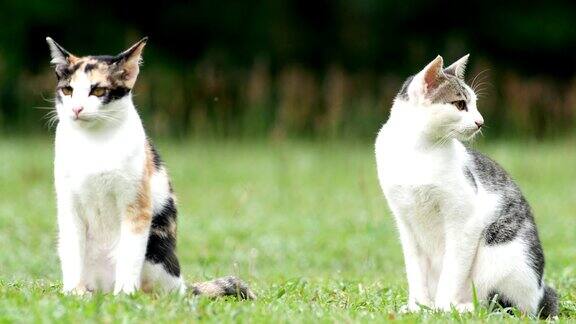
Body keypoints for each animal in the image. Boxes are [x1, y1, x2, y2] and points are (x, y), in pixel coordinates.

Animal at [48, 37, 255, 298]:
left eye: (98, 91)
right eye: (68, 90)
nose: (76, 109)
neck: (94, 141)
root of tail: (182, 286)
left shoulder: (136, 206)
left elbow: (129, 255)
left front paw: (125, 295)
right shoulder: (69, 206)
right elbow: (73, 251)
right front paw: (75, 293)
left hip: (156, 246)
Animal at [374, 55, 560, 316]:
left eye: (474, 104)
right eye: (460, 104)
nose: (480, 122)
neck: (418, 150)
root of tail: (541, 294)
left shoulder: (464, 220)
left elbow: (452, 271)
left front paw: (442, 308)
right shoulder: (406, 223)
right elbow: (415, 271)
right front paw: (418, 306)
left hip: (501, 256)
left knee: (501, 306)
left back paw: (464, 307)